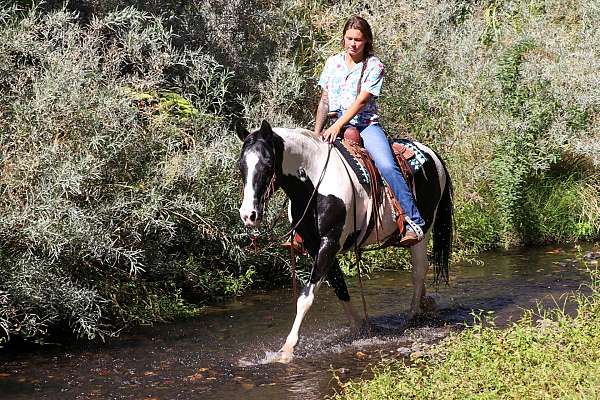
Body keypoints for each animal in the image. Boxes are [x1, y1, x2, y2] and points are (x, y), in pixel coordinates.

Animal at [237, 120, 452, 360]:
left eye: (267, 164)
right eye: (241, 166)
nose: (248, 215)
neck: (316, 183)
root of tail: (432, 154)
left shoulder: (330, 242)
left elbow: (306, 297)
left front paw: (288, 349)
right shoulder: (315, 245)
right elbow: (339, 286)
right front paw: (360, 328)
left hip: (425, 230)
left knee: (418, 271)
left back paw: (412, 317)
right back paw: (425, 304)